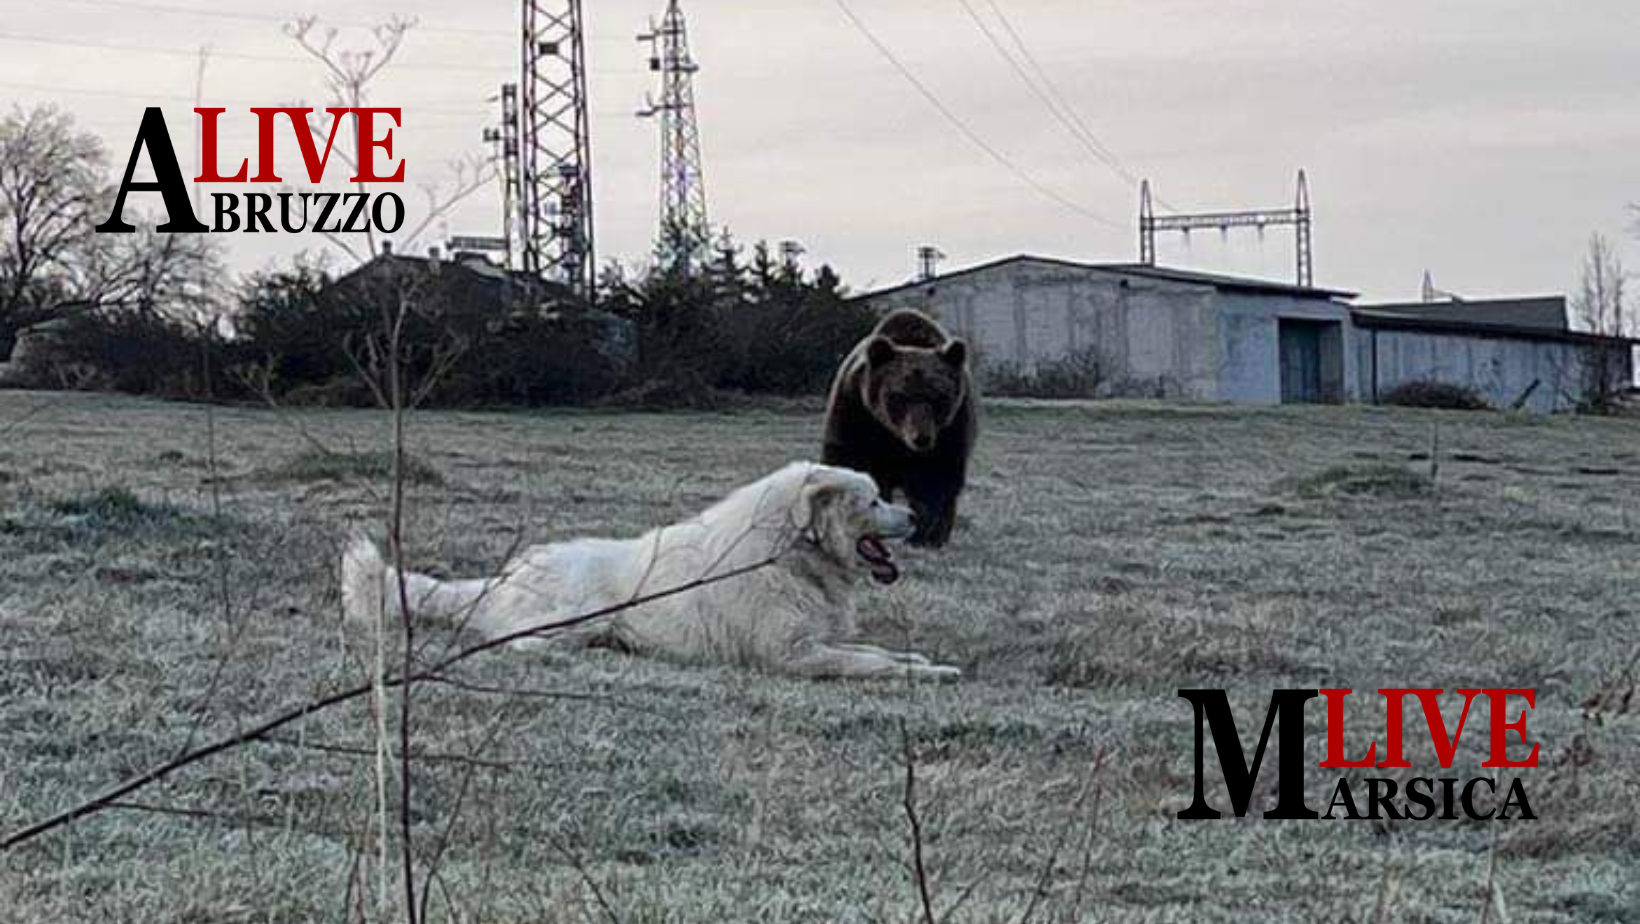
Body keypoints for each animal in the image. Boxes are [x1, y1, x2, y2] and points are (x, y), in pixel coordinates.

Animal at [822, 308, 976, 548]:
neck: (894, 435)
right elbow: (850, 461)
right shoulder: (856, 411)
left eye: (938, 397)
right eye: (900, 396)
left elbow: (934, 479)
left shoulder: (949, 431)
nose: (921, 438)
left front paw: (923, 535)